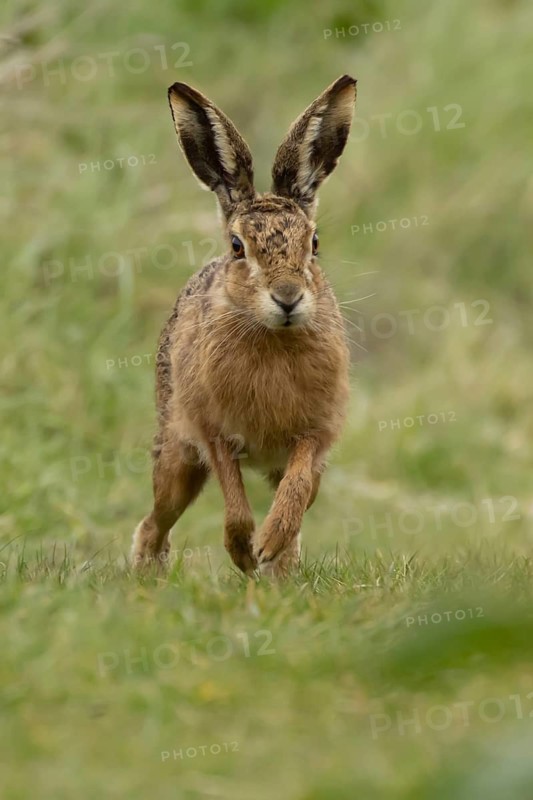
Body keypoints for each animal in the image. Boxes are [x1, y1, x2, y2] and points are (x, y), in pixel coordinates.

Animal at [131, 74, 357, 578]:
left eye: (315, 243)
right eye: (238, 247)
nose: (288, 298)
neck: (273, 337)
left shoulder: (315, 435)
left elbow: (295, 488)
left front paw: (268, 544)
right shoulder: (213, 431)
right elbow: (234, 501)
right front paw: (243, 551)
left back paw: (279, 568)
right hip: (177, 456)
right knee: (156, 519)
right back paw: (147, 575)